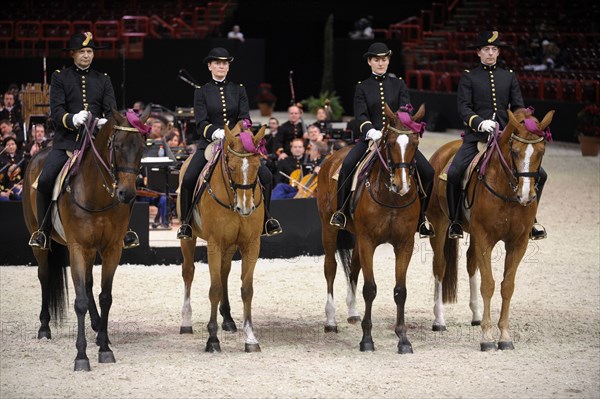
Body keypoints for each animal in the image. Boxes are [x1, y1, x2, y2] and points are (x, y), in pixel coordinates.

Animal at [23, 110, 150, 372]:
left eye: (142, 148)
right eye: (117, 146)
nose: (127, 194)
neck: (97, 194)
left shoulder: (111, 249)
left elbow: (104, 296)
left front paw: (104, 347)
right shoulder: (78, 248)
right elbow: (80, 301)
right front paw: (81, 356)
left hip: (92, 251)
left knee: (90, 284)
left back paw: (98, 328)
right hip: (43, 245)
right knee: (44, 276)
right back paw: (44, 328)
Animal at [176, 122, 264, 354]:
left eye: (258, 166)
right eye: (231, 167)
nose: (245, 208)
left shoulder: (252, 244)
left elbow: (247, 290)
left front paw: (250, 338)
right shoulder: (214, 244)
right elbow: (214, 289)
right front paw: (212, 339)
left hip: (230, 245)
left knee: (224, 272)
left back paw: (228, 320)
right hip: (188, 239)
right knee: (188, 272)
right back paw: (186, 322)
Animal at [316, 103, 424, 354]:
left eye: (415, 144)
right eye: (390, 142)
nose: (402, 185)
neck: (390, 197)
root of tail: (332, 157)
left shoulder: (404, 244)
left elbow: (400, 291)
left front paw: (403, 339)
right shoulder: (368, 241)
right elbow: (370, 289)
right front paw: (367, 339)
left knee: (354, 268)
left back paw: (353, 312)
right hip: (329, 228)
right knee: (330, 268)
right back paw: (331, 320)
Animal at [426, 108, 552, 352]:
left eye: (541, 151)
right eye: (514, 151)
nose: (526, 196)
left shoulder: (518, 242)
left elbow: (507, 286)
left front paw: (504, 336)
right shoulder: (485, 237)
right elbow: (489, 284)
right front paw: (487, 337)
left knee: (470, 262)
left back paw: (475, 315)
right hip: (440, 225)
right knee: (440, 267)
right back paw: (439, 320)